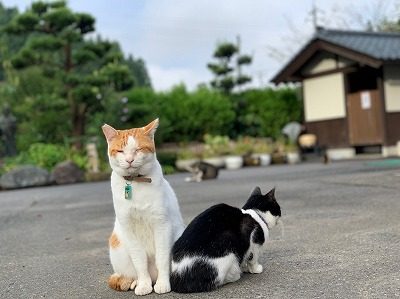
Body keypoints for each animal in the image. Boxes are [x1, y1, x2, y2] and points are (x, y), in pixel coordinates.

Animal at [102, 120, 185, 298]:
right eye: (120, 150)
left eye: (138, 149)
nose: (129, 160)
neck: (136, 183)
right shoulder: (129, 229)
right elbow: (139, 261)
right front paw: (144, 285)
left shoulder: (162, 225)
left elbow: (162, 258)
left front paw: (163, 283)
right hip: (118, 244)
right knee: (128, 274)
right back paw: (135, 282)